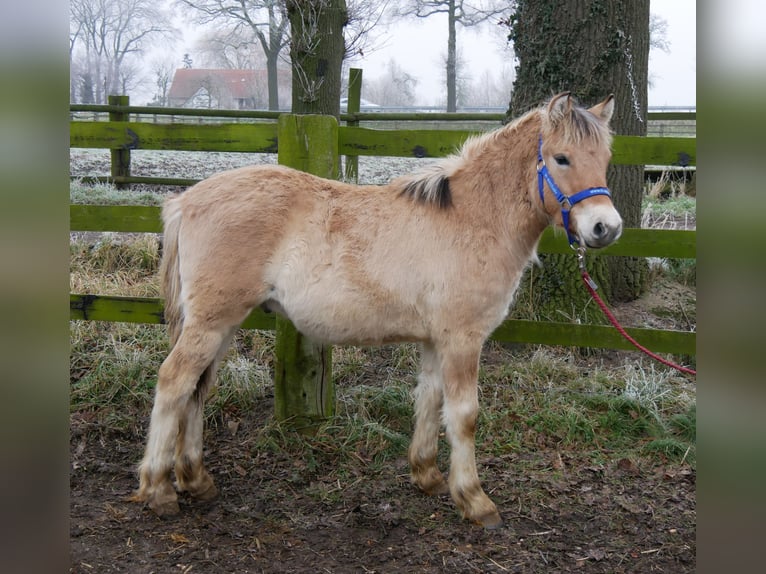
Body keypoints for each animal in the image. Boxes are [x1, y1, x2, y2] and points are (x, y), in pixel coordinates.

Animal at [132, 94, 624, 532]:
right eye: (561, 158)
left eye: (604, 158)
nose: (606, 228)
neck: (472, 219)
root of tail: (184, 201)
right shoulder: (462, 340)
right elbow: (464, 415)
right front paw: (474, 500)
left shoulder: (436, 341)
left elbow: (430, 399)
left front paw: (427, 476)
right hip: (211, 323)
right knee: (174, 382)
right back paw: (158, 489)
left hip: (221, 325)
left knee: (198, 389)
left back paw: (195, 480)